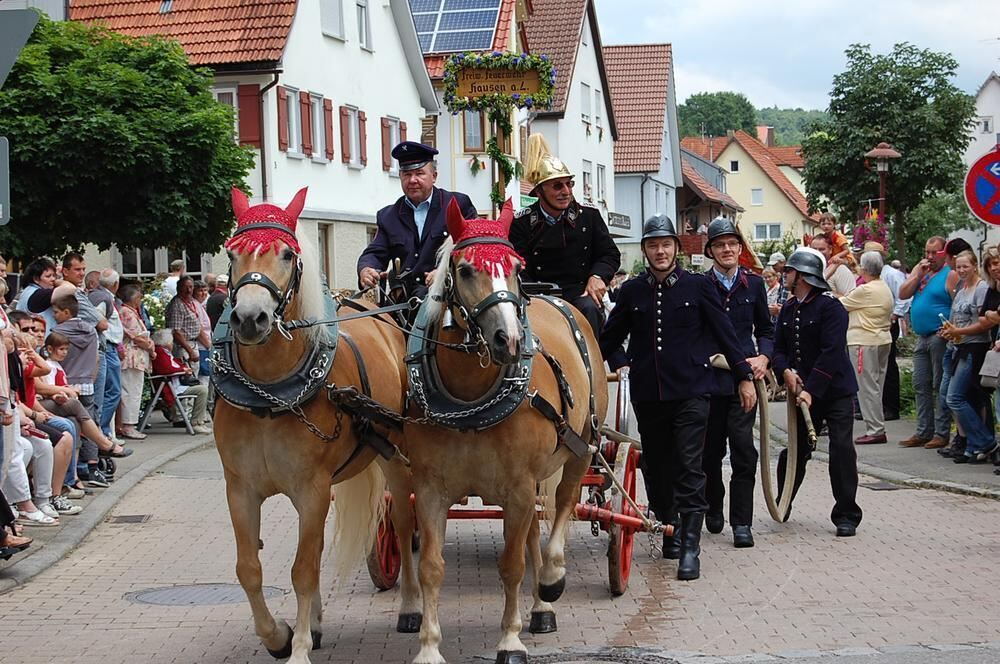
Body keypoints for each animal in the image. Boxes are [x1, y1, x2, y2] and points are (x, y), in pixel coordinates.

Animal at [215, 187, 406, 664]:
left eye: (286, 254)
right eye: (231, 253)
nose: (250, 318)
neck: (270, 393)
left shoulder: (312, 488)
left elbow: (303, 569)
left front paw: (298, 645)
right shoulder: (240, 489)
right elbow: (249, 568)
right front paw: (279, 636)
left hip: (397, 460)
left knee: (407, 522)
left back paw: (412, 608)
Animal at [400, 198, 608, 664]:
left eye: (515, 267)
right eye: (464, 270)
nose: (508, 341)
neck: (470, 402)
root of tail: (559, 301)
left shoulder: (518, 485)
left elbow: (512, 565)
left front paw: (510, 640)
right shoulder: (430, 488)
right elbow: (431, 568)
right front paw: (428, 645)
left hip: (581, 447)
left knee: (561, 512)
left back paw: (551, 581)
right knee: (532, 533)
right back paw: (540, 607)